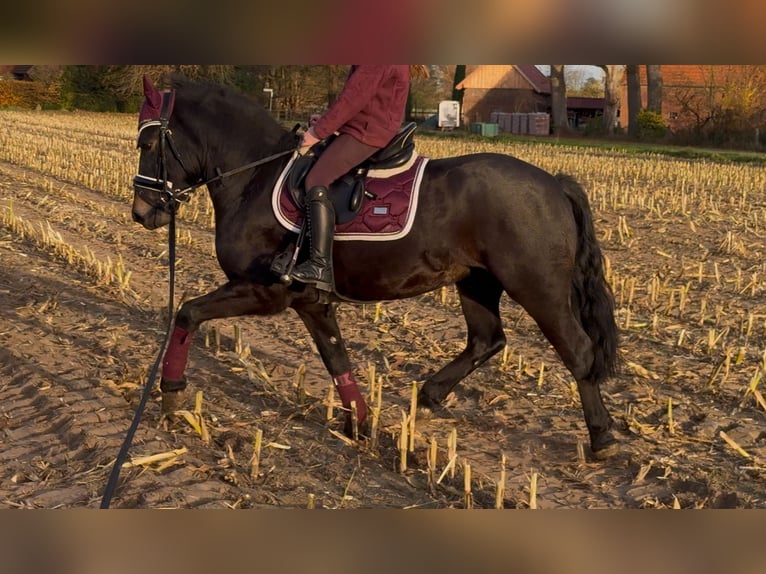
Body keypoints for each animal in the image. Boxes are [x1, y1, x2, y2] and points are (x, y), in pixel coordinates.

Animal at [130, 75, 620, 459]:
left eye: (148, 143)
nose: (141, 212)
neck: (255, 177)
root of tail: (553, 183)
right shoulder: (311, 302)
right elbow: (336, 359)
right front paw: (361, 425)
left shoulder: (263, 291)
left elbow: (187, 312)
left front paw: (171, 394)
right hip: (476, 283)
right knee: (487, 339)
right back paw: (429, 395)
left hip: (537, 287)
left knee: (578, 350)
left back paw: (601, 437)